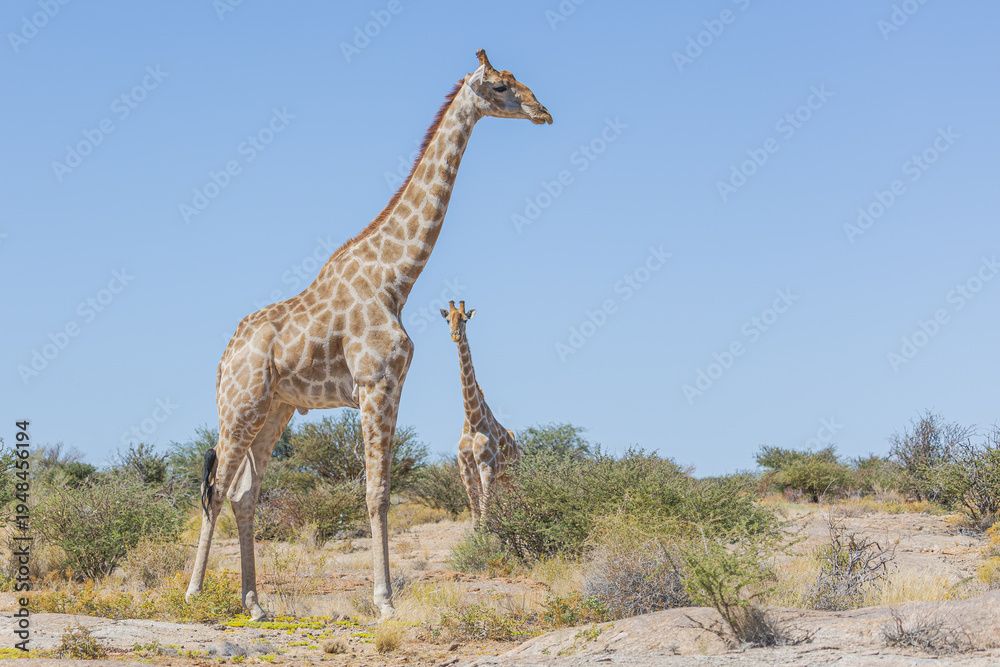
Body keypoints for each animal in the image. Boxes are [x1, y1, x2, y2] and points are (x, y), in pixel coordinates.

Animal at [441, 301, 520, 529]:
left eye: (465, 320)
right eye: (447, 319)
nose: (455, 335)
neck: (473, 419)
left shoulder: (487, 468)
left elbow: (485, 511)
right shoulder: (466, 471)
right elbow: (475, 513)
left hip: (514, 472)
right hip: (504, 477)